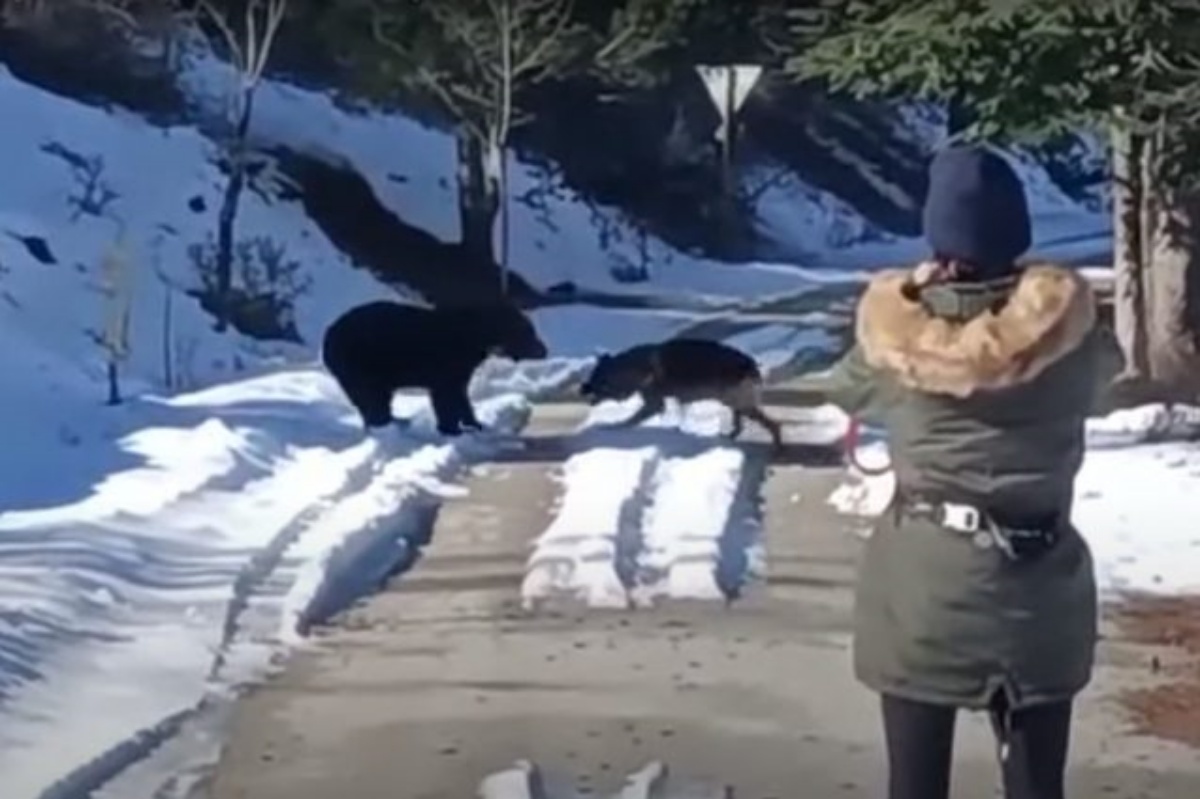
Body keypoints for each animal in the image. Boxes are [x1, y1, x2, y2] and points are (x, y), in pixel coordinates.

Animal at [316, 299, 547, 436]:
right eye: (529, 331)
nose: (544, 349)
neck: (474, 335)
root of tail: (328, 334)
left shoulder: (462, 365)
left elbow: (460, 392)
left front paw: (475, 423)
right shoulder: (446, 358)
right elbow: (445, 393)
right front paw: (451, 428)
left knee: (374, 398)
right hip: (361, 360)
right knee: (371, 395)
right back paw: (386, 423)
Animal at [580, 335, 787, 448]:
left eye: (596, 378)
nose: (582, 388)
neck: (632, 368)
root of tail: (750, 363)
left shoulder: (654, 404)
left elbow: (631, 420)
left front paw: (616, 426)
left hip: (740, 403)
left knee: (773, 425)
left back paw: (777, 446)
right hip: (735, 403)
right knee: (741, 425)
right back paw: (731, 437)